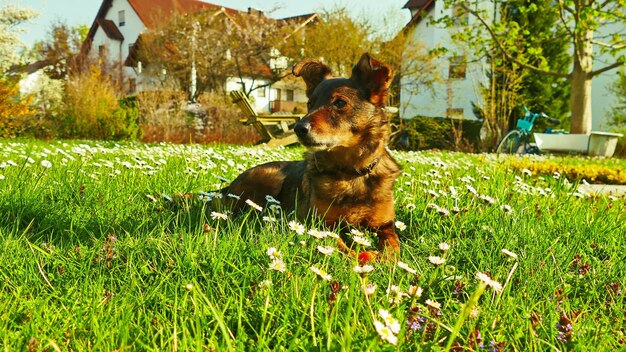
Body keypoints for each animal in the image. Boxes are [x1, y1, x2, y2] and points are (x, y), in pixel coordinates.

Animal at [219, 53, 400, 258]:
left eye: (340, 103)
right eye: (310, 104)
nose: (298, 128)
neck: (349, 173)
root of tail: (227, 188)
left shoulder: (385, 227)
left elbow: (393, 248)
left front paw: (383, 259)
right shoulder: (320, 224)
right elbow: (343, 249)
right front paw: (361, 257)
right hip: (272, 178)